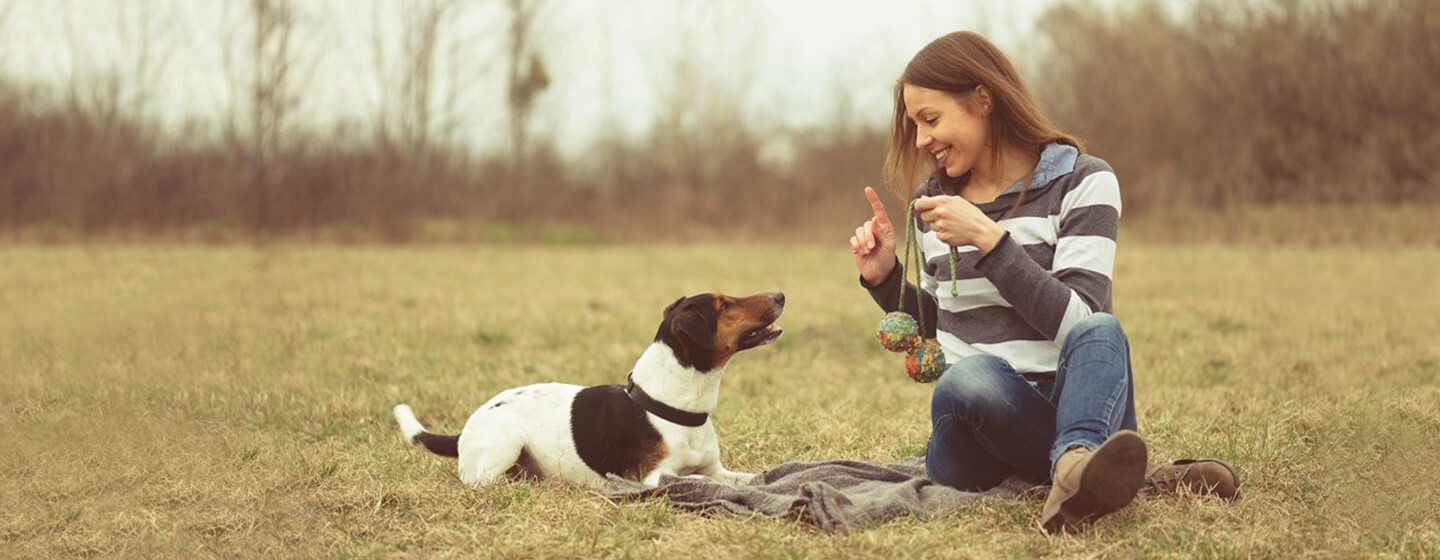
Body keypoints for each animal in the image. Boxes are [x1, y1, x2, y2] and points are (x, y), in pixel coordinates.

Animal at [391, 290, 789, 486]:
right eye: (725, 305)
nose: (780, 294)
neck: (672, 407)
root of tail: (464, 430)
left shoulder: (716, 470)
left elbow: (748, 479)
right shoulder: (653, 479)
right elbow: (703, 484)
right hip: (505, 443)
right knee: (479, 482)